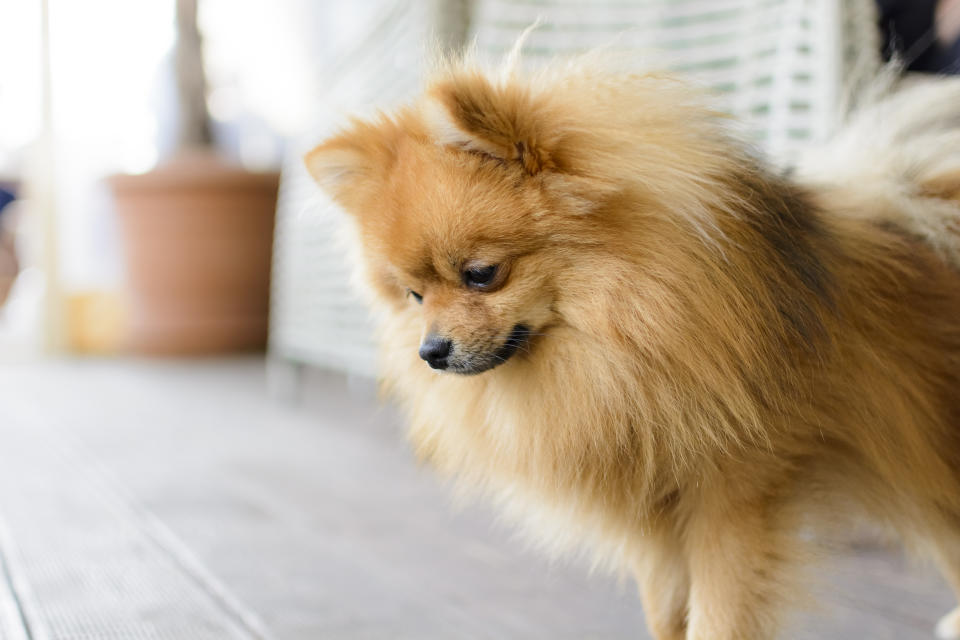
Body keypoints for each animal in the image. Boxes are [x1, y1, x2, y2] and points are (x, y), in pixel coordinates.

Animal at [304, 57, 960, 636]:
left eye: (482, 274)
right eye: (414, 295)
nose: (431, 351)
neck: (632, 333)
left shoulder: (735, 500)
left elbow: (718, 617)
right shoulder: (655, 512)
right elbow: (667, 613)